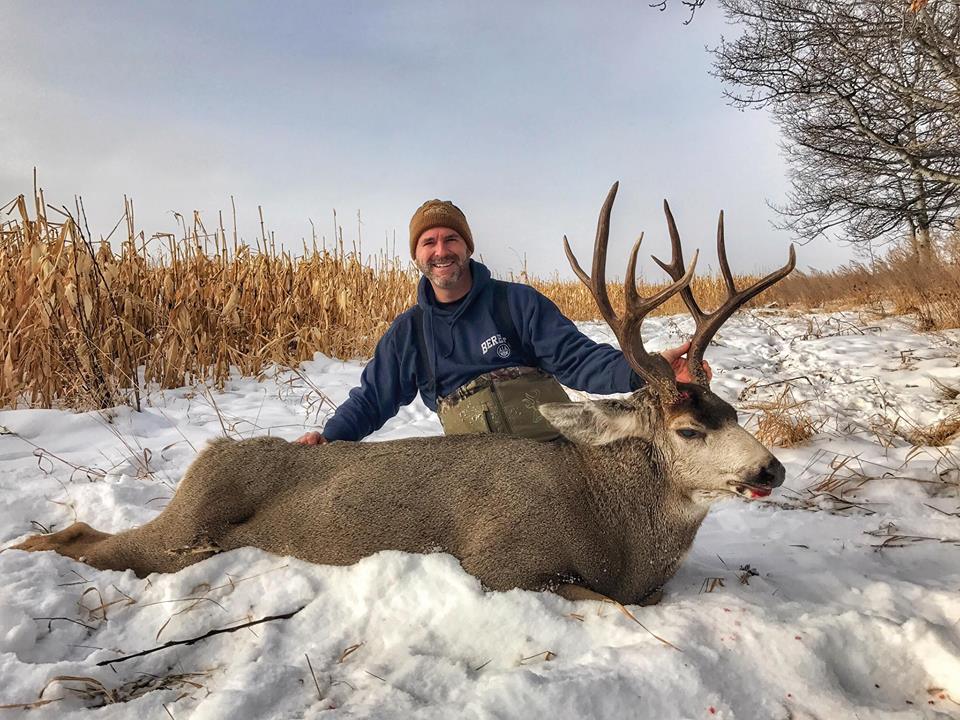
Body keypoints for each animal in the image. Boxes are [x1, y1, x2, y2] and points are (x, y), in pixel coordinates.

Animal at [12, 183, 795, 607]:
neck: (618, 532)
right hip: (188, 523)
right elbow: (609, 608)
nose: (773, 467)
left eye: (732, 410)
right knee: (92, 540)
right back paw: (27, 544)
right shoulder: (502, 565)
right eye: (689, 430)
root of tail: (209, 453)